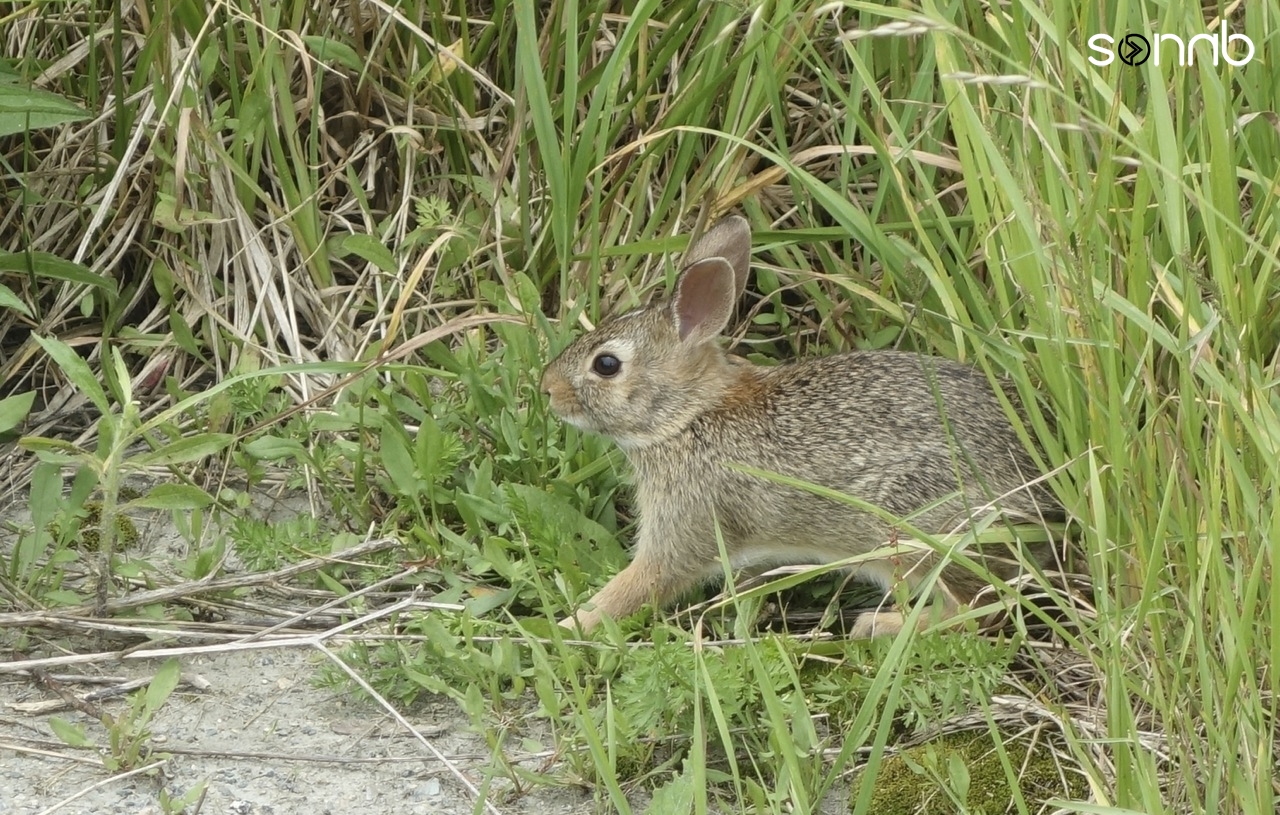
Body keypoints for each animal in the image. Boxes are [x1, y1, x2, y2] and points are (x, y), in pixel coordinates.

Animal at [542, 214, 1059, 634]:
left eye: (606, 365)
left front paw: (567, 627)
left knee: (978, 607)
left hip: (915, 532)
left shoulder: (688, 524)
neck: (688, 416)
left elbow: (639, 585)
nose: (548, 389)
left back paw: (878, 626)